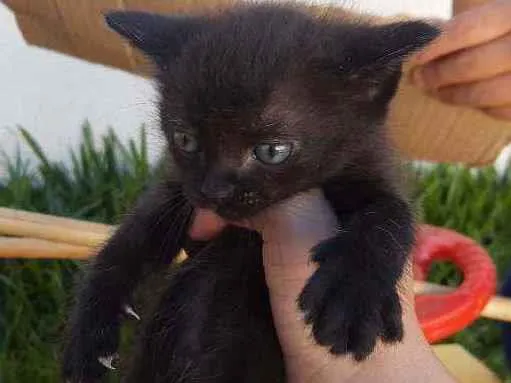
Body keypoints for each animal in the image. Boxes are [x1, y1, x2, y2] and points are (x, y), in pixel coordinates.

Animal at [63, 3, 440, 383]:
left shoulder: (371, 169)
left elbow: (393, 212)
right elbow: (133, 234)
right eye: (185, 139)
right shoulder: (181, 193)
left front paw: (351, 294)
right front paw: (91, 329)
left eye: (271, 151)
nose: (214, 190)